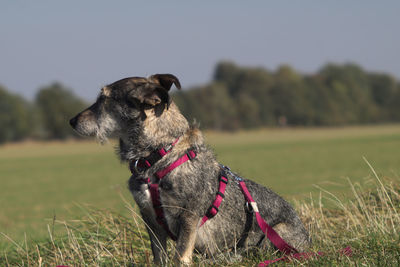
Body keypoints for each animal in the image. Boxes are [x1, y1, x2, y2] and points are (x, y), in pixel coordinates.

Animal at [70, 74, 310, 266]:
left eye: (104, 99)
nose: (72, 121)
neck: (158, 156)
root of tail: (307, 238)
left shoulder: (188, 216)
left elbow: (180, 256)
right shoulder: (150, 219)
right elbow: (159, 256)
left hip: (274, 234)